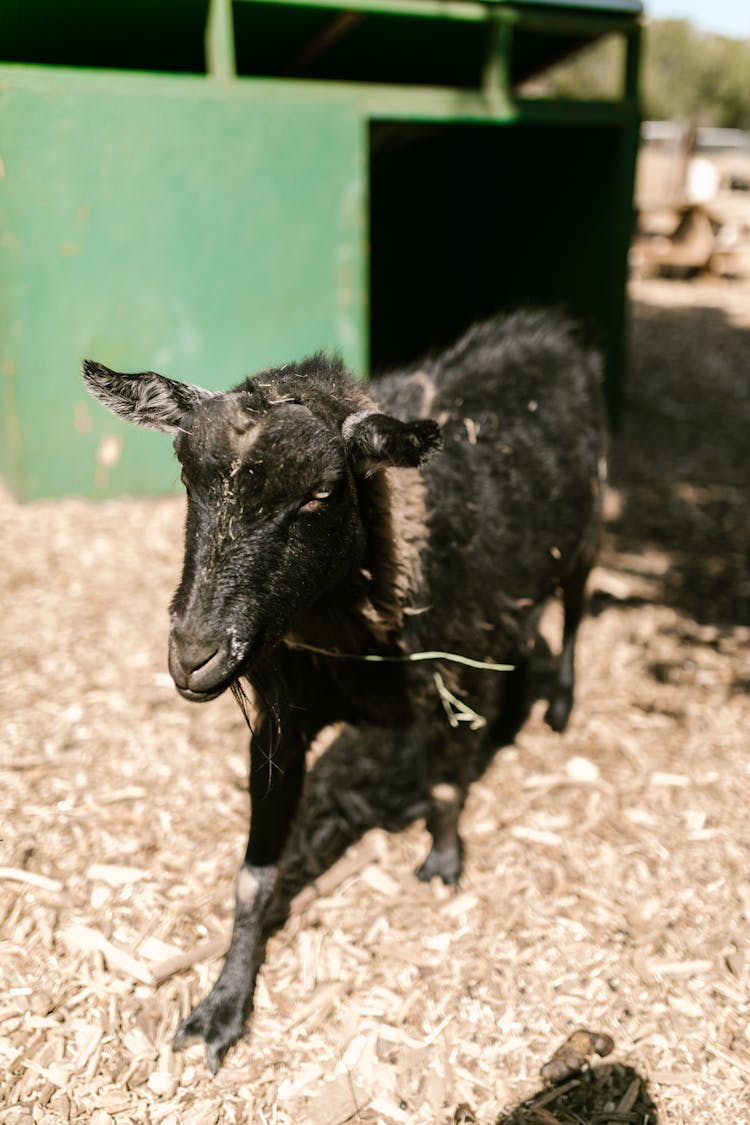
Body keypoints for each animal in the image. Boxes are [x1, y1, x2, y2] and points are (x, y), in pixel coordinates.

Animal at [82, 308, 607, 1071]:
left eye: (323, 491)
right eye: (185, 473)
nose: (195, 655)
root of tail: (552, 328)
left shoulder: (439, 673)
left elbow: (443, 786)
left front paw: (442, 864)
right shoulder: (281, 725)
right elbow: (253, 878)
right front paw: (220, 1009)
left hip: (589, 531)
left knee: (568, 615)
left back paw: (559, 707)